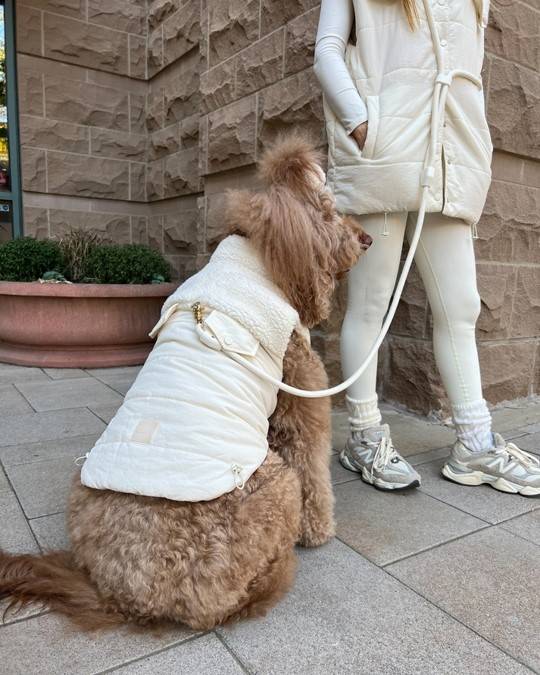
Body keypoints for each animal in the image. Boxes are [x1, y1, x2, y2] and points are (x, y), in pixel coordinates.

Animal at [0, 131, 372, 632]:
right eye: (330, 213)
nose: (367, 237)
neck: (256, 265)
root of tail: (123, 597)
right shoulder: (303, 395)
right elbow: (313, 468)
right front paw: (319, 532)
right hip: (275, 485)